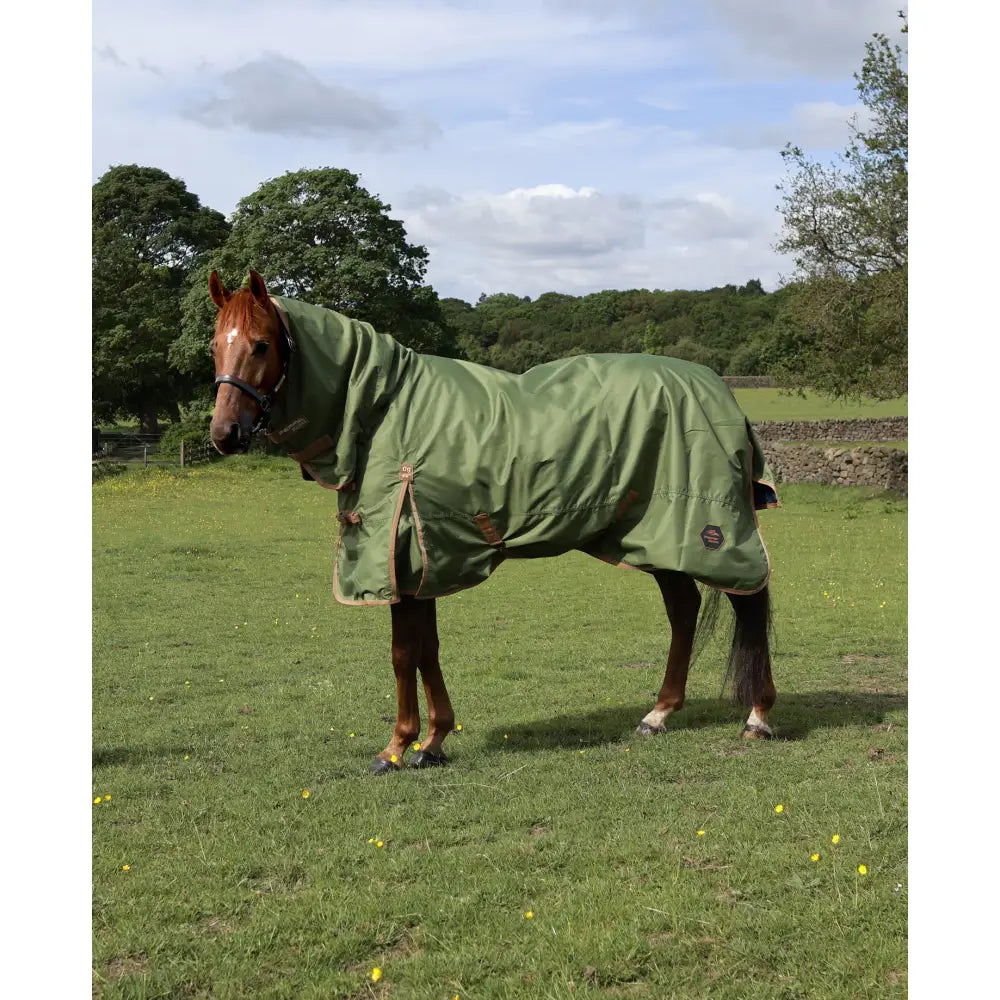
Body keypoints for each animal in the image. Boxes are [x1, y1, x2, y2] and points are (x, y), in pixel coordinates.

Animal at [209, 269, 779, 773]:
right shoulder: (423, 559)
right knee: (683, 611)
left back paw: (757, 718)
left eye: (262, 345)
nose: (224, 433)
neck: (383, 409)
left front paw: (396, 748)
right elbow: (428, 650)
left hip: (709, 532)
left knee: (748, 605)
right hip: (659, 539)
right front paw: (434, 743)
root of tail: (721, 391)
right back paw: (657, 715)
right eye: (215, 345)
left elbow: (403, 654)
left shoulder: (401, 555)